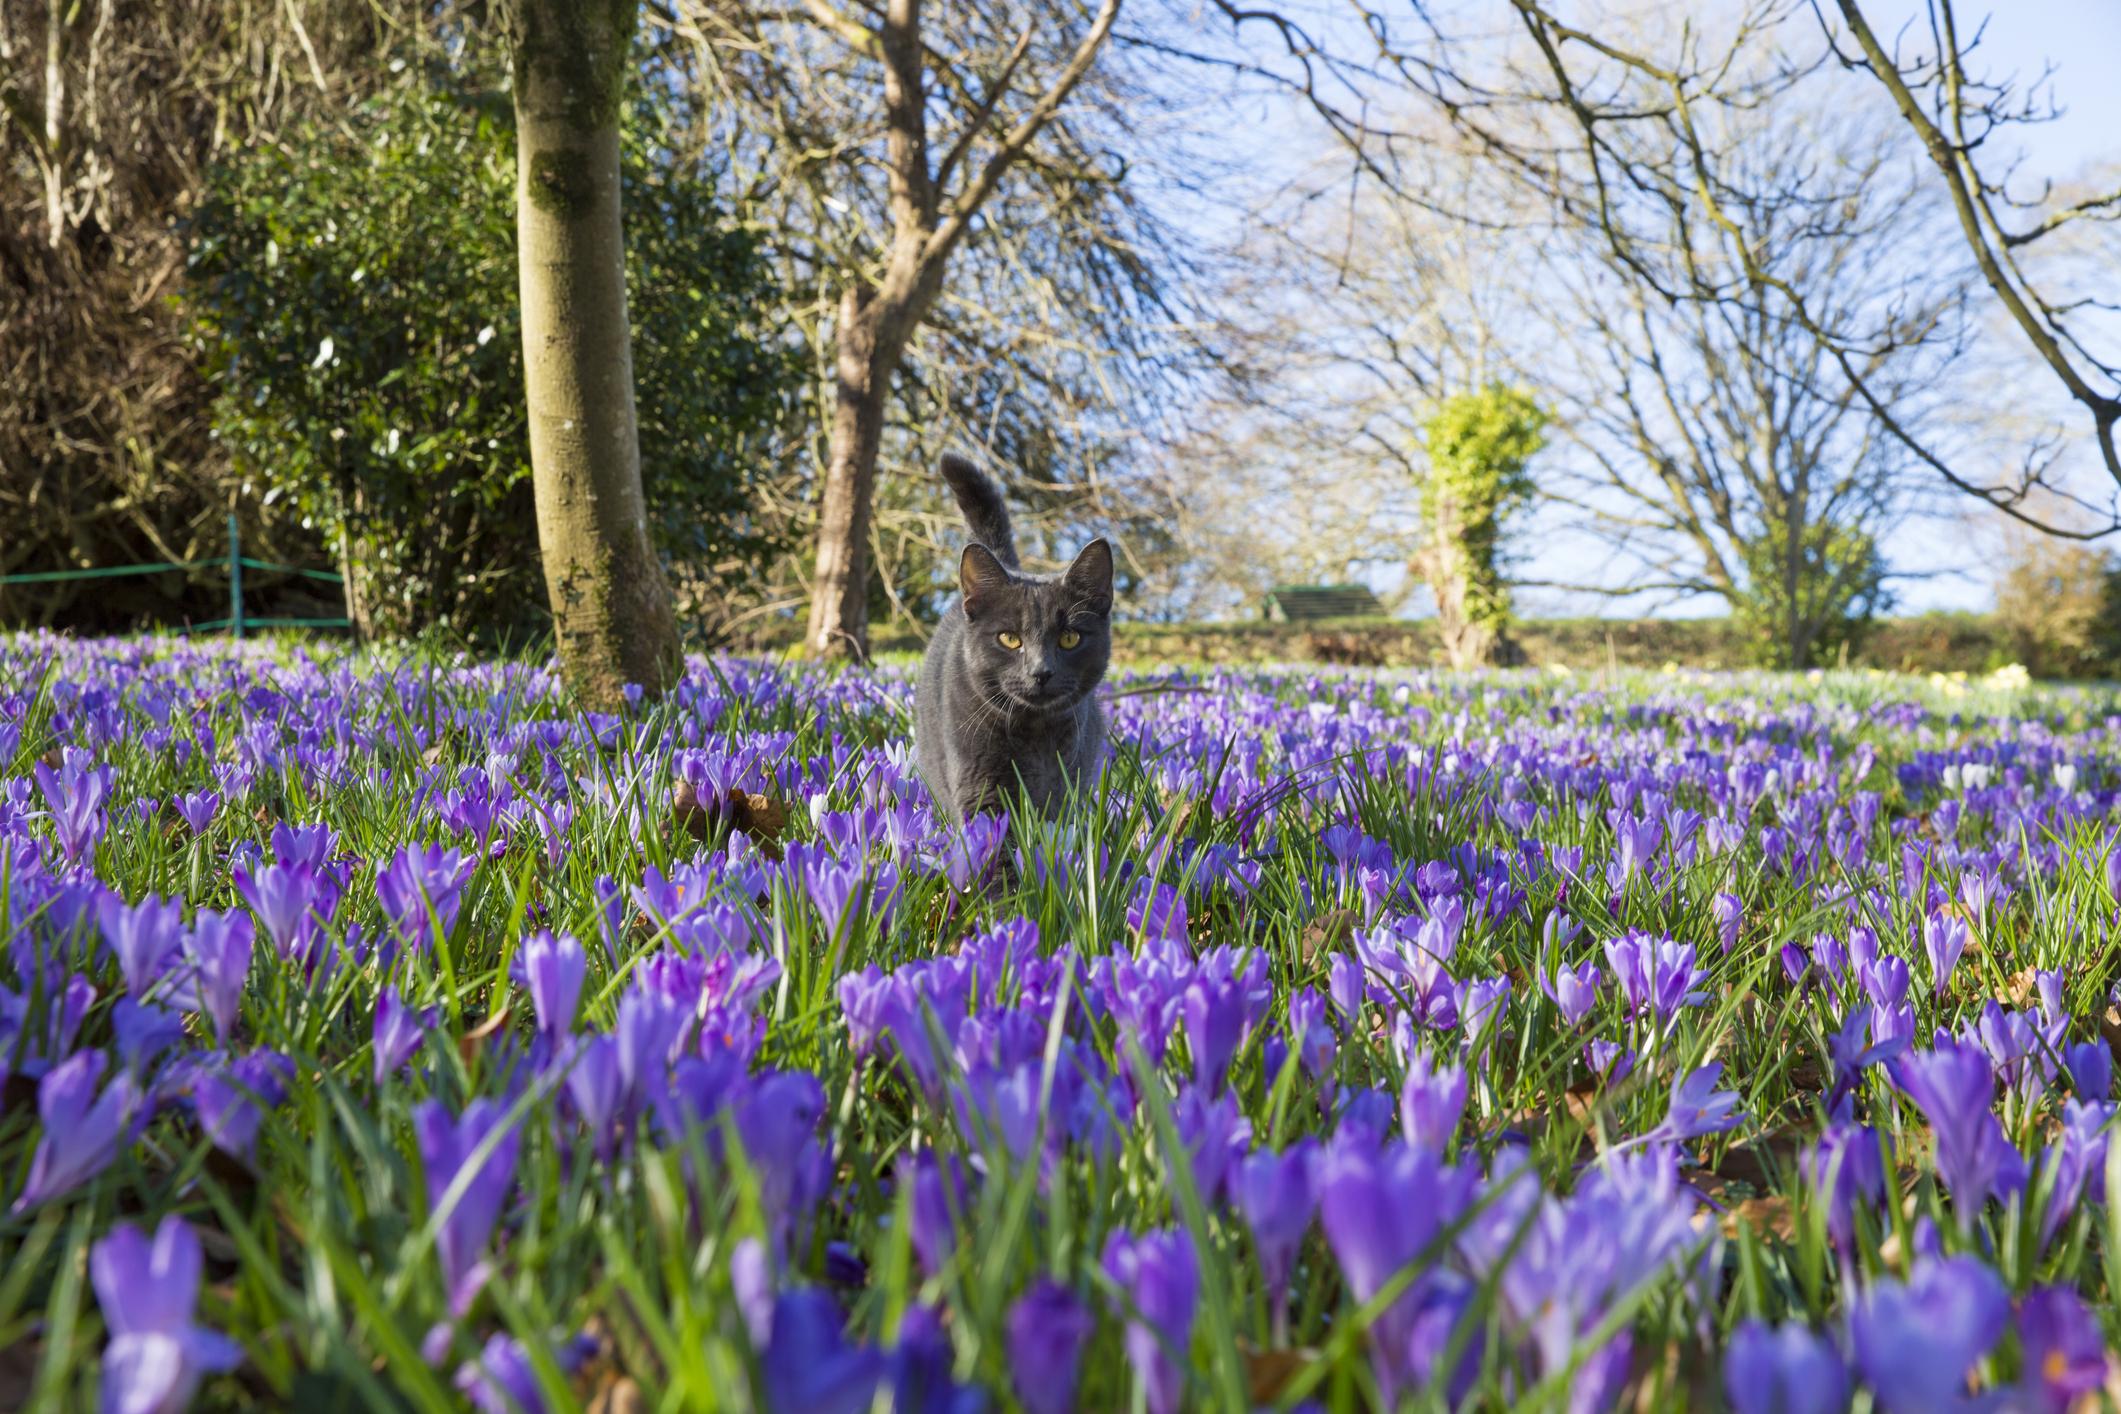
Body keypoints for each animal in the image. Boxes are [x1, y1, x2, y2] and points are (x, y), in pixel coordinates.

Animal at [916, 455, 1119, 818]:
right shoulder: (981, 789)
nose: (1041, 671)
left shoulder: (1068, 789)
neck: (1034, 735)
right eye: (1010, 639)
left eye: (1069, 638)